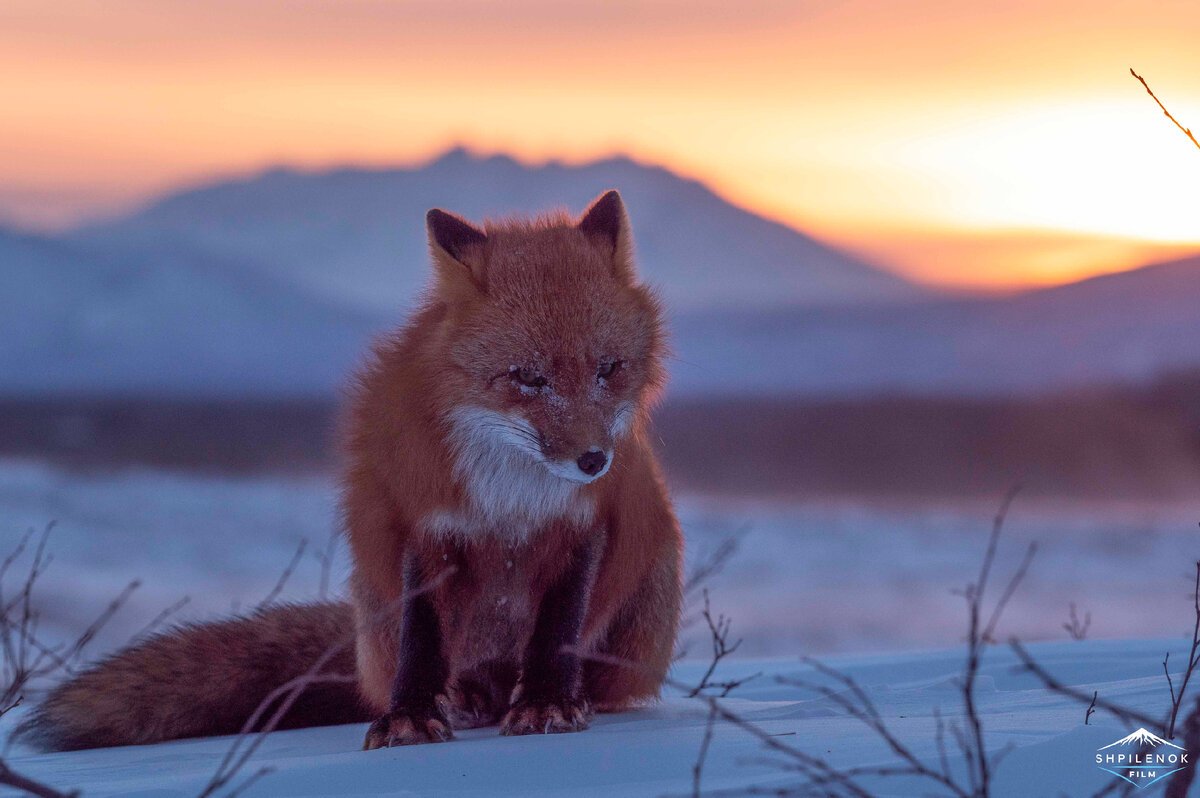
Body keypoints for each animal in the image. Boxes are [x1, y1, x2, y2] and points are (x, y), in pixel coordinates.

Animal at [23, 189, 686, 748]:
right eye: (527, 378)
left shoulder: (582, 526)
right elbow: (422, 639)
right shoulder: (422, 523)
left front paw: (548, 702)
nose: (593, 460)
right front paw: (409, 716)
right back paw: (464, 699)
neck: (512, 497)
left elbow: (559, 629)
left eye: (609, 369)